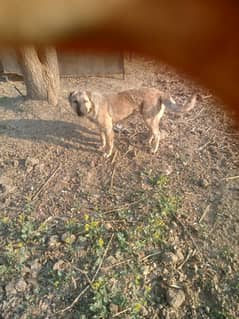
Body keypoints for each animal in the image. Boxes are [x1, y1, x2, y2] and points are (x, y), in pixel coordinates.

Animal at [68, 88, 196, 158]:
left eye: (85, 101)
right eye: (75, 101)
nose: (81, 112)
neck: (94, 105)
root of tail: (159, 92)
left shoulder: (108, 128)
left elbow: (109, 143)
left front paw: (107, 153)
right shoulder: (100, 128)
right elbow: (102, 138)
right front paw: (102, 145)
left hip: (149, 119)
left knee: (157, 134)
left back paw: (154, 149)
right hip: (148, 119)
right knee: (152, 132)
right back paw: (147, 141)